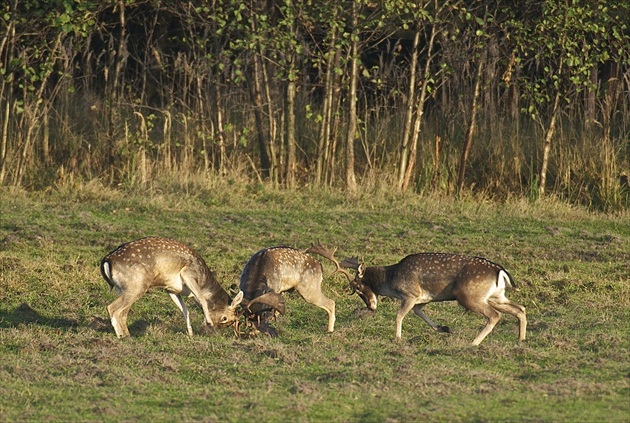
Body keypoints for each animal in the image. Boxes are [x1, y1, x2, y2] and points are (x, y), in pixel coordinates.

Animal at [100, 237, 244, 340]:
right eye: (224, 318)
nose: (208, 329)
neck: (204, 282)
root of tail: (107, 260)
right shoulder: (188, 274)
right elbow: (202, 299)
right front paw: (208, 321)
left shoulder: (171, 290)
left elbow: (185, 311)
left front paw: (190, 334)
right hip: (136, 285)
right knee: (112, 308)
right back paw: (121, 336)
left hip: (126, 288)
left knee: (123, 312)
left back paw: (127, 334)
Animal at [316, 247, 528, 346]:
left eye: (358, 287)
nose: (371, 307)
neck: (392, 280)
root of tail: (500, 271)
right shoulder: (423, 299)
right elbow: (418, 312)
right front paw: (443, 328)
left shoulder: (410, 293)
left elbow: (400, 315)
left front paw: (398, 337)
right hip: (496, 296)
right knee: (520, 308)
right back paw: (521, 339)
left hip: (469, 295)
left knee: (495, 315)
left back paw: (473, 343)